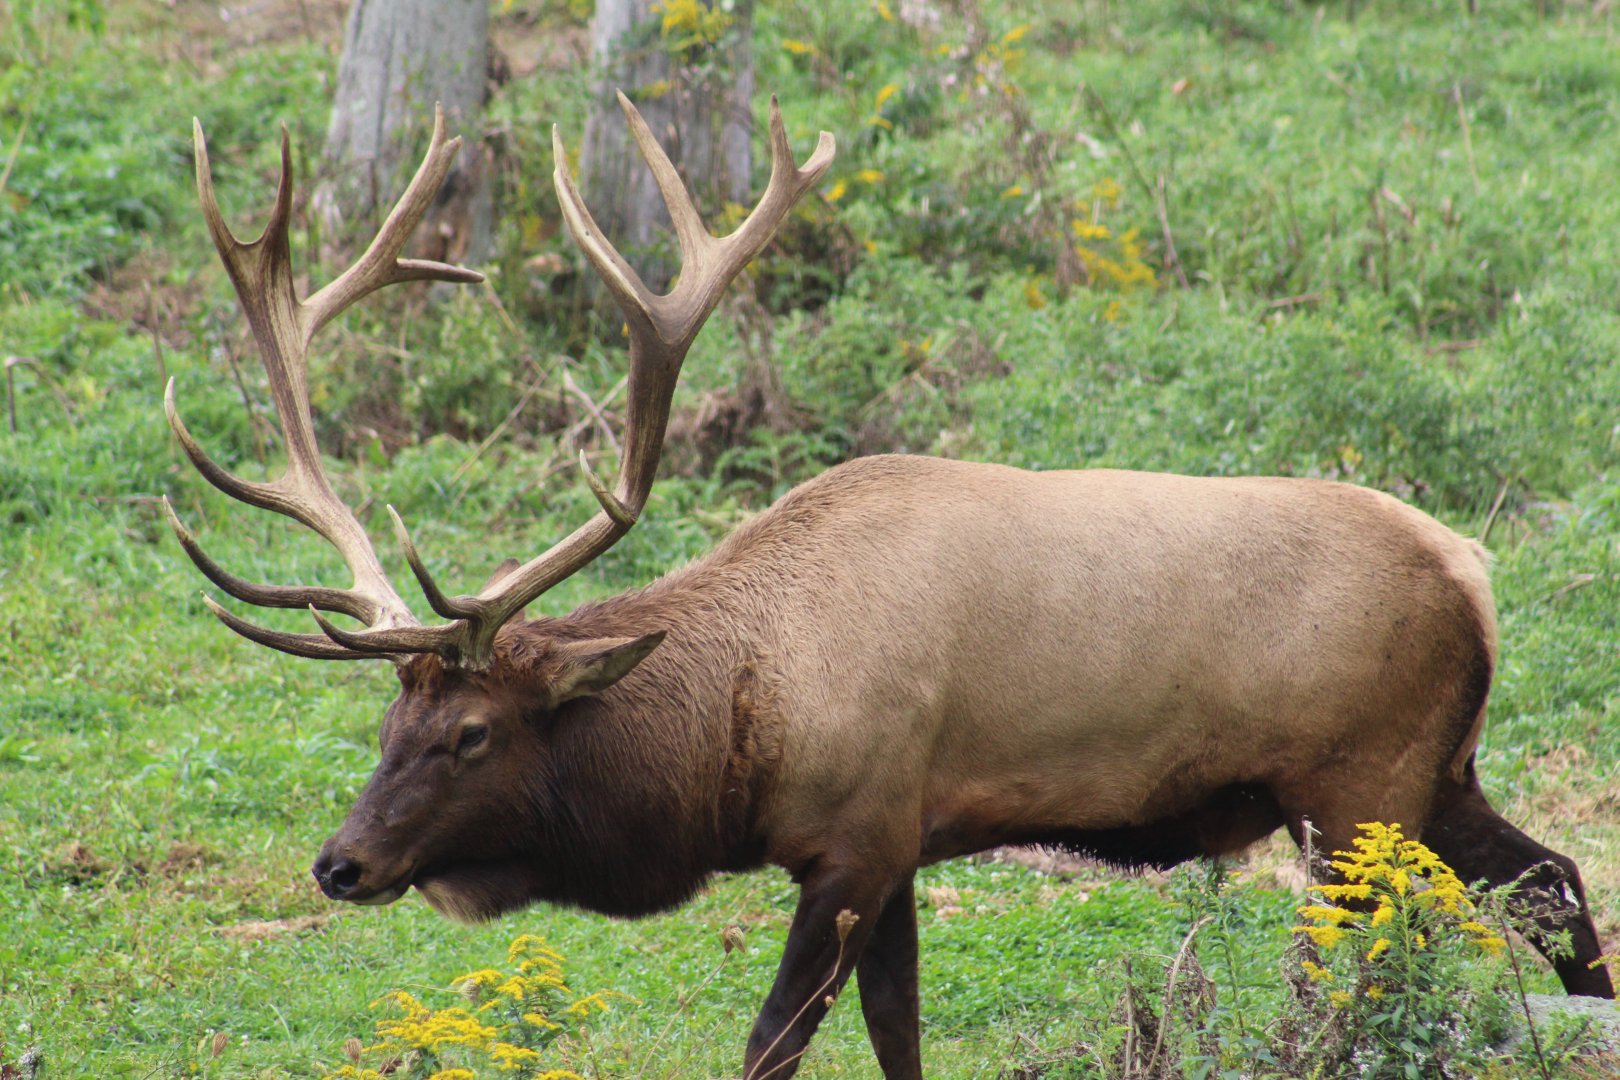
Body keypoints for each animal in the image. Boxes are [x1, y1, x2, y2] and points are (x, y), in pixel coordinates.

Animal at [163, 97, 1614, 1080]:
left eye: (470, 734)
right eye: (386, 723)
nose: (342, 862)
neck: (736, 730)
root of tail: (1478, 576)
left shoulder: (854, 836)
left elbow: (774, 1042)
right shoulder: (904, 841)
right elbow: (896, 1031)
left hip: (1355, 787)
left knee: (1350, 981)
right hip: (1434, 772)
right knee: (1556, 881)